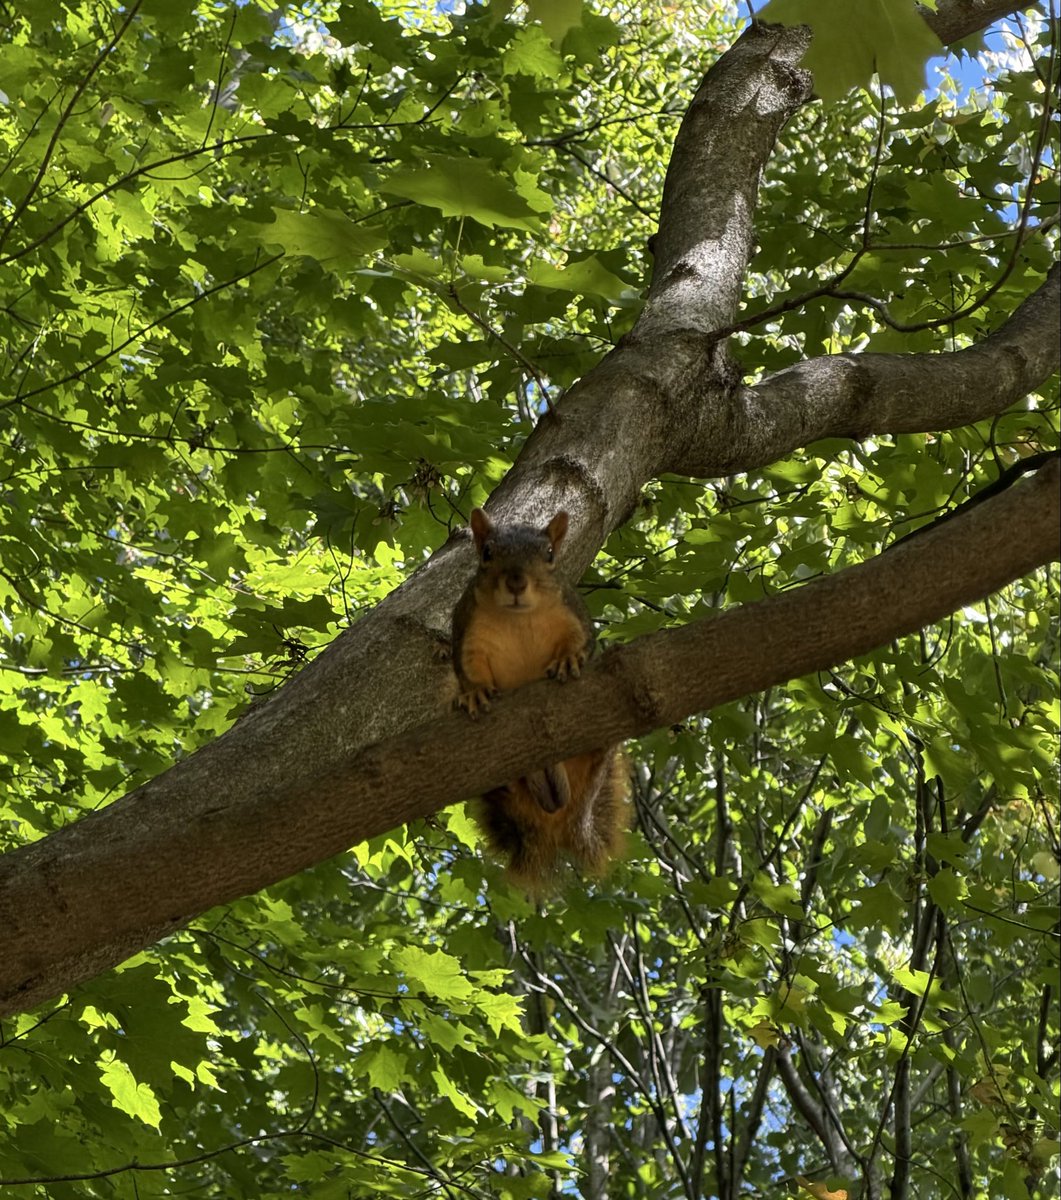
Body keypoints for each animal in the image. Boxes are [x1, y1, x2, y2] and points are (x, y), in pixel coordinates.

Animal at [451, 507, 628, 891]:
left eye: (549, 555)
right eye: (487, 553)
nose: (517, 582)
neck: (519, 619)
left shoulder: (572, 614)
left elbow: (580, 641)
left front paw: (569, 659)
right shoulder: (467, 632)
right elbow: (469, 669)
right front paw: (473, 693)